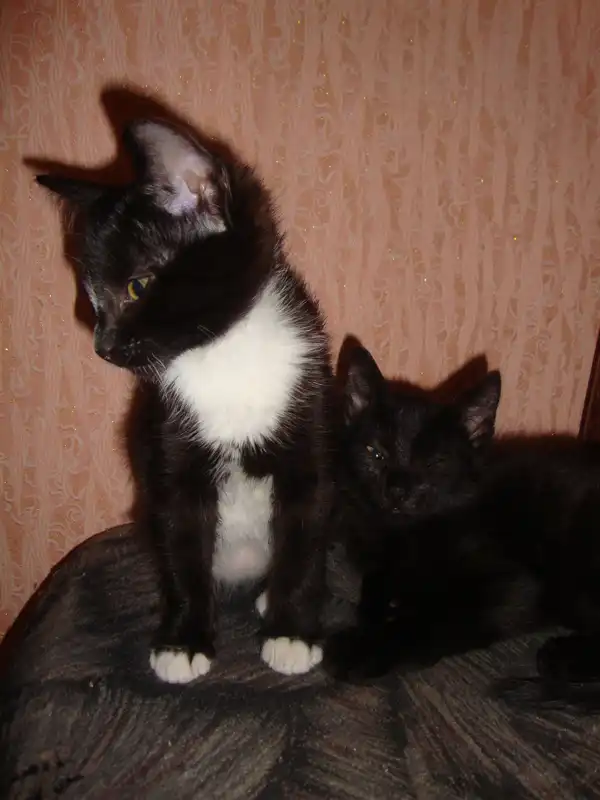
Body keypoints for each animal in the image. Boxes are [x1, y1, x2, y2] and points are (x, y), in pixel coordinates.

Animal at [37, 118, 333, 683]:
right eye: (91, 299)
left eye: (137, 287)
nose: (103, 347)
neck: (225, 357)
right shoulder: (169, 444)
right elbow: (182, 541)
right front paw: (183, 641)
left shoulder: (309, 423)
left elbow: (305, 533)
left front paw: (292, 631)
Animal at [324, 342, 600, 695]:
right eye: (375, 453)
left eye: (434, 462)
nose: (397, 490)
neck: (406, 536)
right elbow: (377, 585)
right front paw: (380, 606)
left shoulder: (514, 583)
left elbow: (435, 618)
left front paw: (361, 649)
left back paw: (562, 656)